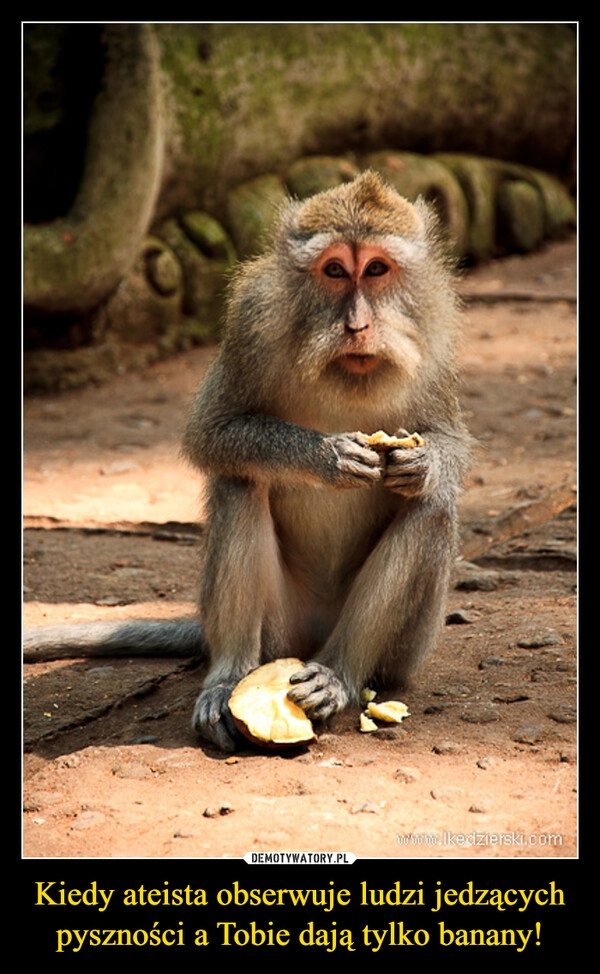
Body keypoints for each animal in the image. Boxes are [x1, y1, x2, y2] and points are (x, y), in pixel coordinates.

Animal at [23, 173, 472, 756]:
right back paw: (226, 681)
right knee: (239, 479)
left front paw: (421, 463)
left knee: (431, 508)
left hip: (405, 651)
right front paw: (327, 456)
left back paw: (339, 674)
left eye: (376, 270)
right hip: (279, 628)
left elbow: (448, 444)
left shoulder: (437, 335)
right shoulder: (251, 321)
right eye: (334, 270)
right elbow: (213, 432)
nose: (357, 325)